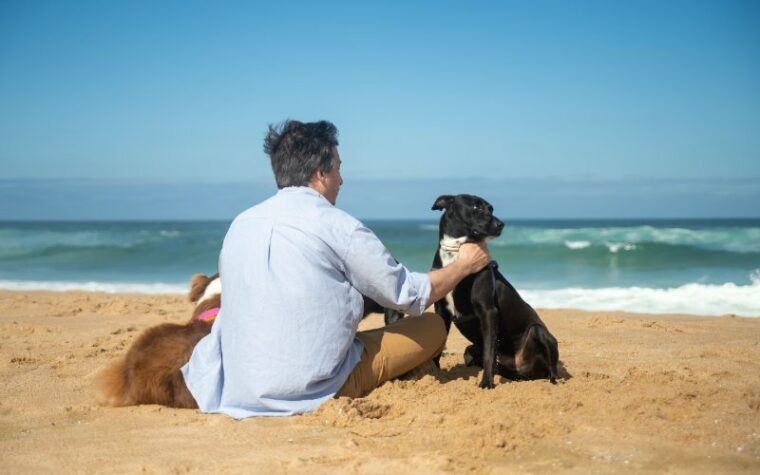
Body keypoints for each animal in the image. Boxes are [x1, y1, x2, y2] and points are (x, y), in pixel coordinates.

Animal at [434, 195, 560, 388]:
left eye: (491, 209)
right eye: (476, 207)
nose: (501, 224)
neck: (457, 253)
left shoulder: (488, 312)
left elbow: (489, 352)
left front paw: (486, 382)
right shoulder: (441, 313)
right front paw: (432, 373)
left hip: (539, 332)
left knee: (553, 366)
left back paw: (553, 379)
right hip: (471, 350)